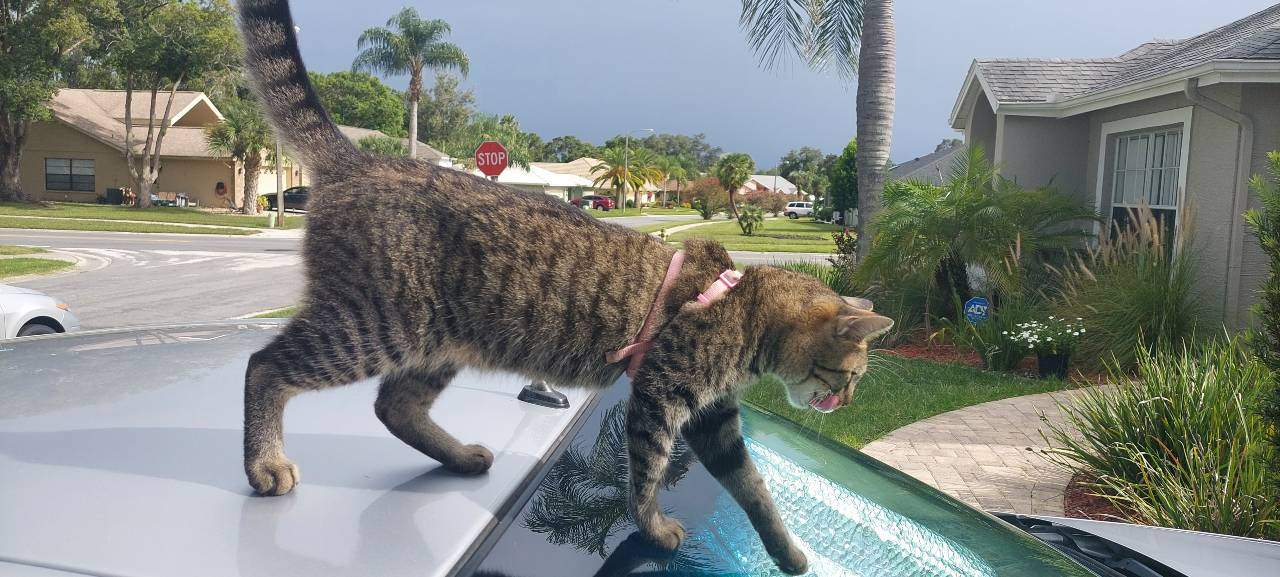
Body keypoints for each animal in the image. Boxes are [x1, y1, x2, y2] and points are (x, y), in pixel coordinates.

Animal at [235, 2, 890, 575]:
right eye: (850, 375)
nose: (849, 402)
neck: (744, 308)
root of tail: (361, 161)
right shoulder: (660, 397)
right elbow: (646, 477)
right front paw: (654, 529)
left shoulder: (716, 419)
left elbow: (756, 491)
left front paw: (790, 553)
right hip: (371, 326)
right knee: (264, 365)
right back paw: (265, 462)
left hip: (432, 341)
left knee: (393, 406)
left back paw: (460, 456)